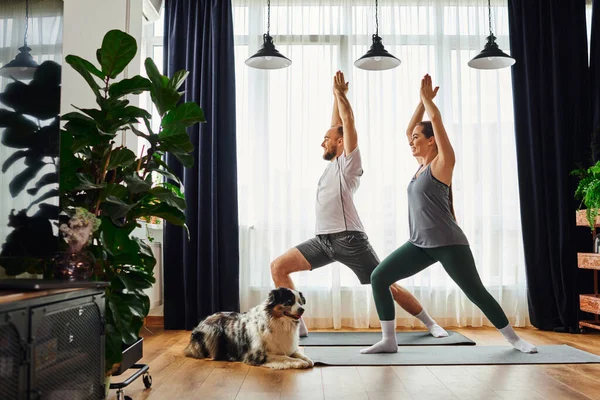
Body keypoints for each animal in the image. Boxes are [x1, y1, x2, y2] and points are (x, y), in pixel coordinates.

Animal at [183, 288, 314, 368]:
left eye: (300, 302)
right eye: (289, 301)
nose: (302, 309)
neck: (279, 322)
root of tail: (200, 323)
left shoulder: (288, 346)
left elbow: (297, 353)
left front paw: (307, 359)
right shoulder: (257, 354)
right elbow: (284, 357)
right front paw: (299, 363)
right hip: (213, 331)